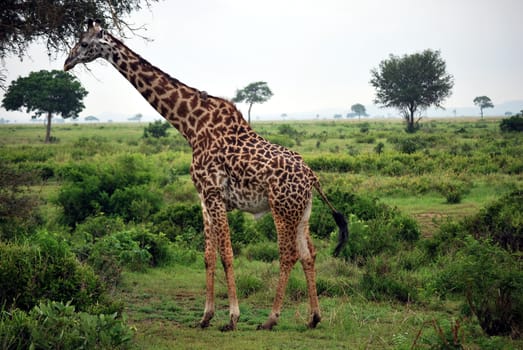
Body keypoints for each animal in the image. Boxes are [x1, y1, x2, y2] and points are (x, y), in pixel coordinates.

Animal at [65, 19, 350, 330]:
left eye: (83, 43)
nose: (66, 63)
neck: (190, 126)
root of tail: (312, 177)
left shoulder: (214, 193)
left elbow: (227, 254)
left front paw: (232, 317)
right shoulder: (202, 197)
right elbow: (208, 256)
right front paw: (205, 316)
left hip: (282, 208)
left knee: (288, 255)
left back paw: (271, 319)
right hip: (302, 211)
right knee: (309, 254)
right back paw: (314, 317)